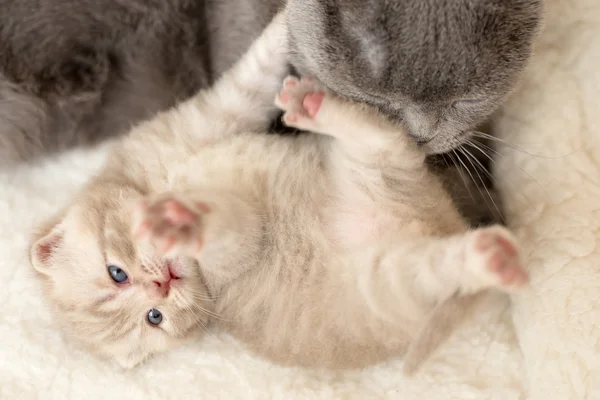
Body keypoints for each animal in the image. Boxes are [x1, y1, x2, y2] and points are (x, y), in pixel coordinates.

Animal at [30, 12, 528, 376]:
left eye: (116, 274)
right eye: (155, 318)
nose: (161, 286)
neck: (155, 186)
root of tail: (440, 221)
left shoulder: (204, 119)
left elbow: (253, 71)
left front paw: (284, 18)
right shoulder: (232, 259)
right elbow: (232, 235)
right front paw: (184, 224)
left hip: (379, 174)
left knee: (381, 139)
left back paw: (313, 105)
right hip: (392, 280)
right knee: (435, 258)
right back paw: (491, 258)